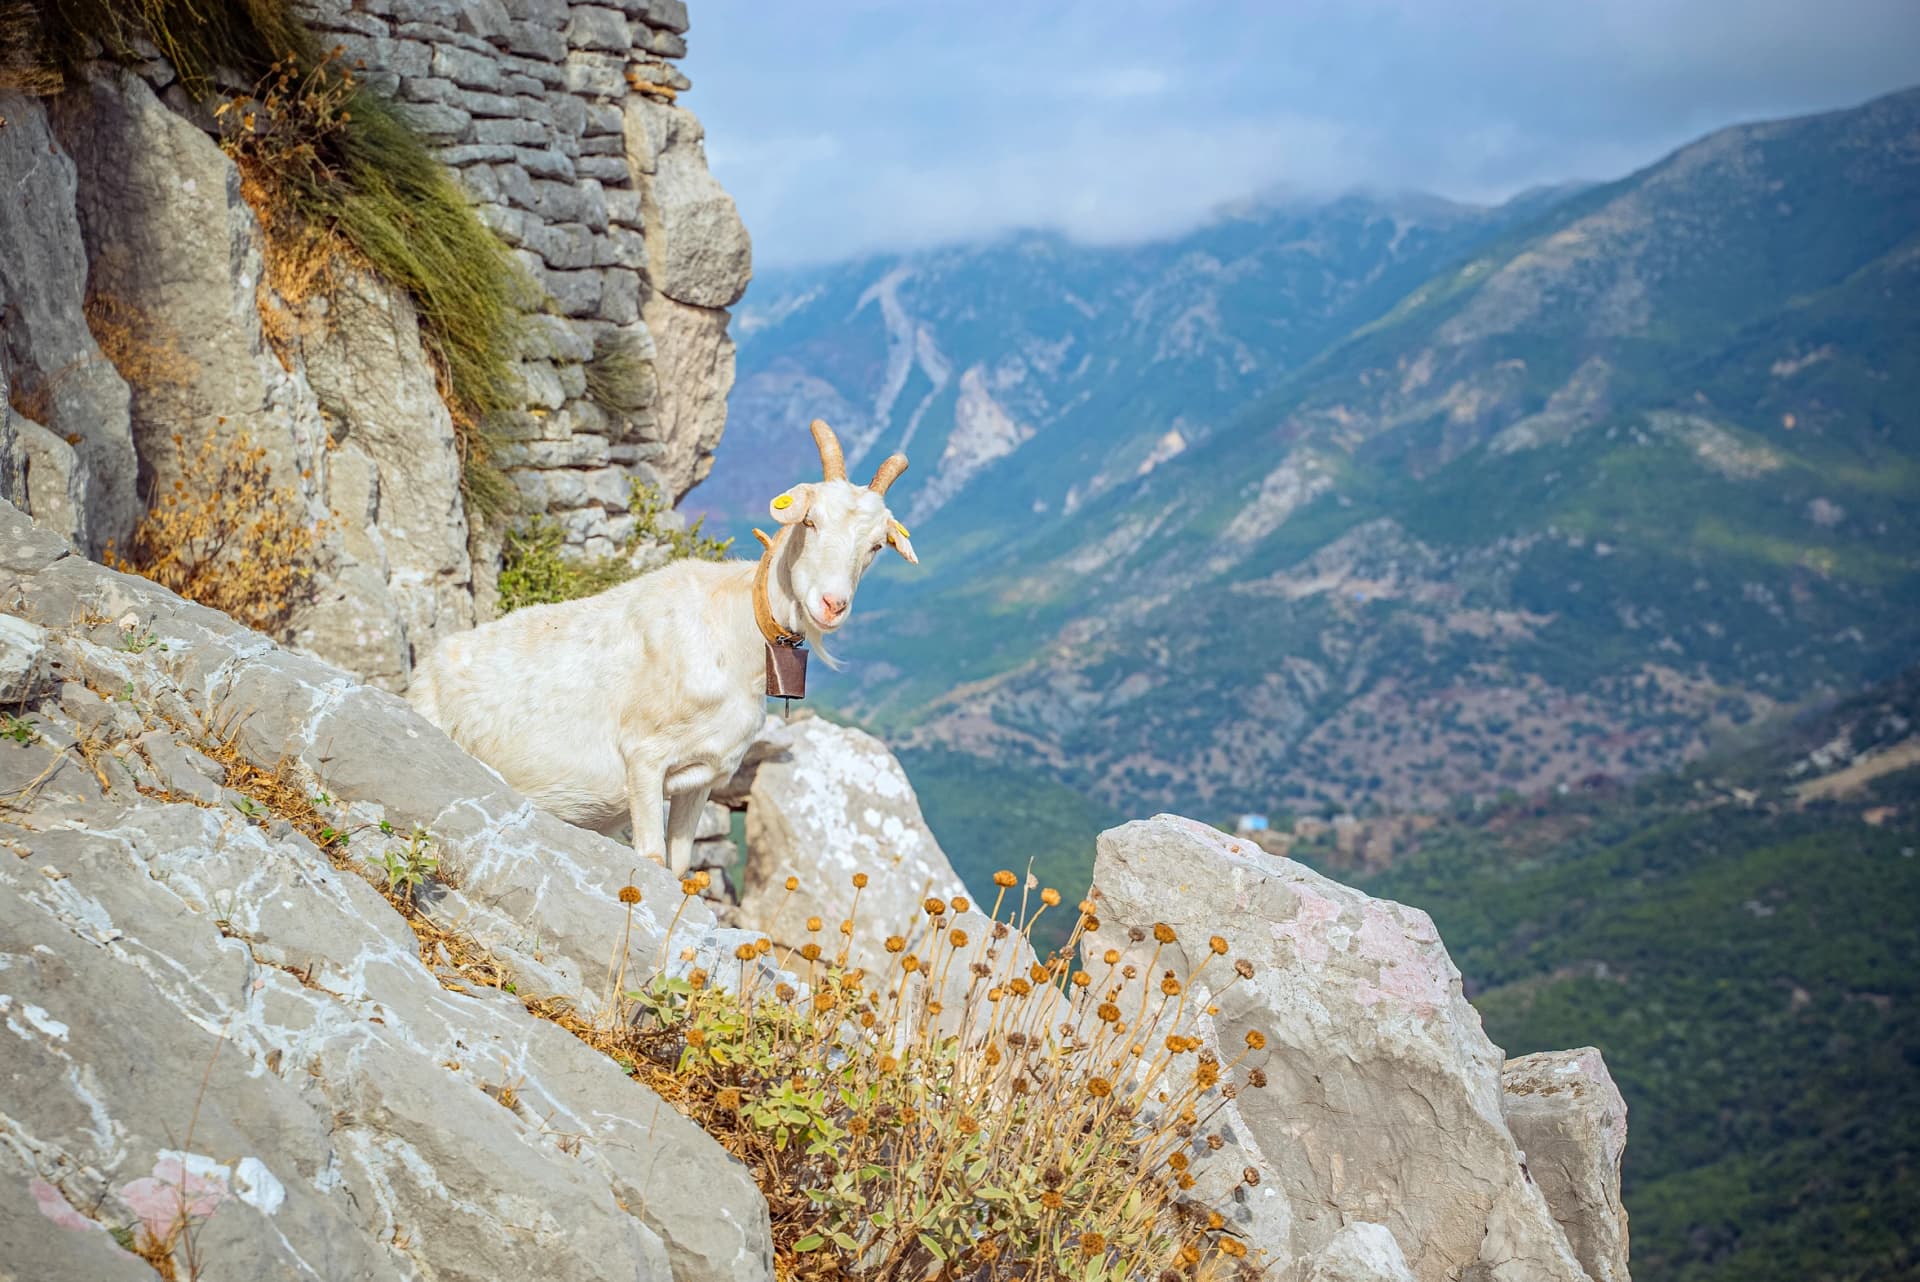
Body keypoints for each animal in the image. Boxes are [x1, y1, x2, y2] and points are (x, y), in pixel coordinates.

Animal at [407, 420, 917, 876]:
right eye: (810, 521)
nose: (832, 605)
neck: (732, 635)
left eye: (876, 546)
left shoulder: (700, 777)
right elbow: (652, 858)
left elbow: (681, 867)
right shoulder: (643, 758)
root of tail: (425, 668)